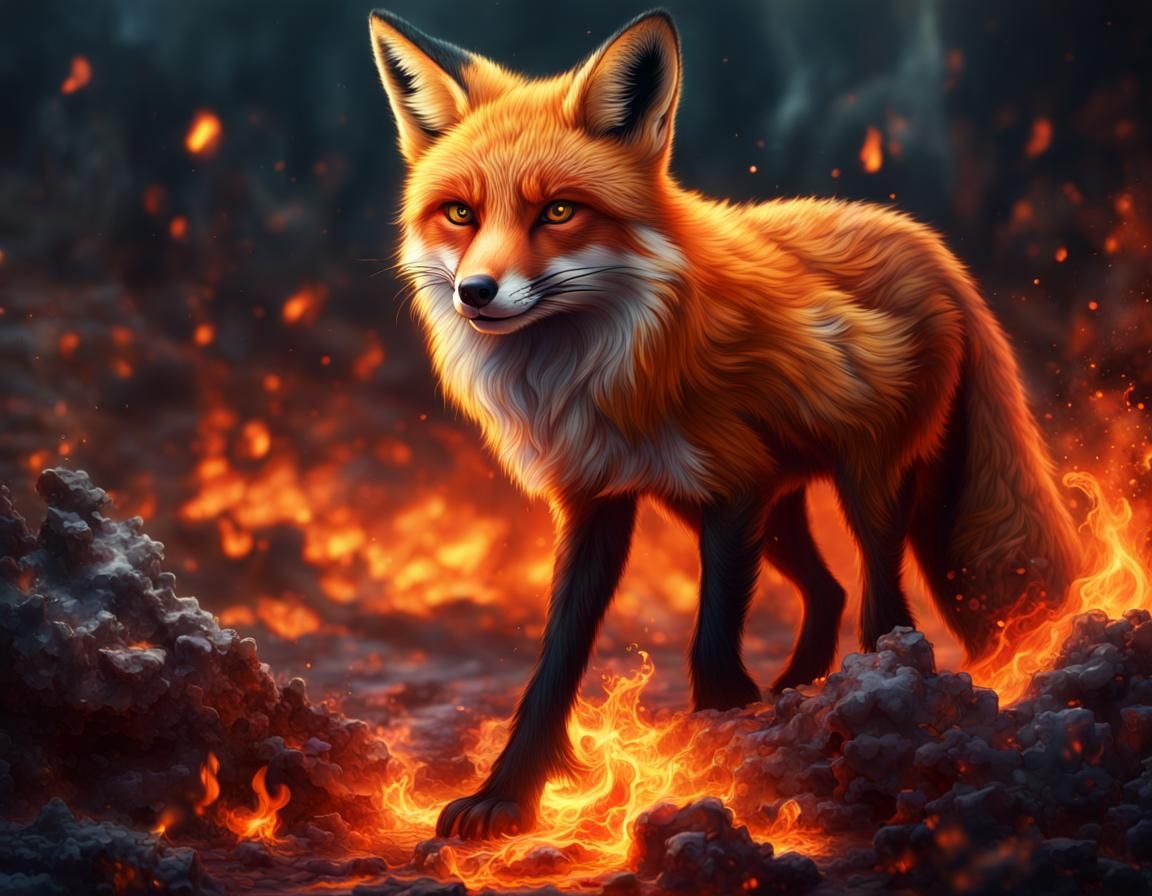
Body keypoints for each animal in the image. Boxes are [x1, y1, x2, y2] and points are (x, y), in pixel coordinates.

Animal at [367, 8, 1082, 839]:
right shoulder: (597, 504)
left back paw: (874, 696)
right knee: (828, 591)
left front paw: (720, 738)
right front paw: (507, 796)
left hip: (863, 485)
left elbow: (709, 640)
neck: (599, 375)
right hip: (769, 508)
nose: (476, 292)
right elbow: (554, 665)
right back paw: (798, 692)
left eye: (558, 211)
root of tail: (922, 237)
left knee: (882, 603)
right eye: (460, 213)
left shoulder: (733, 490)